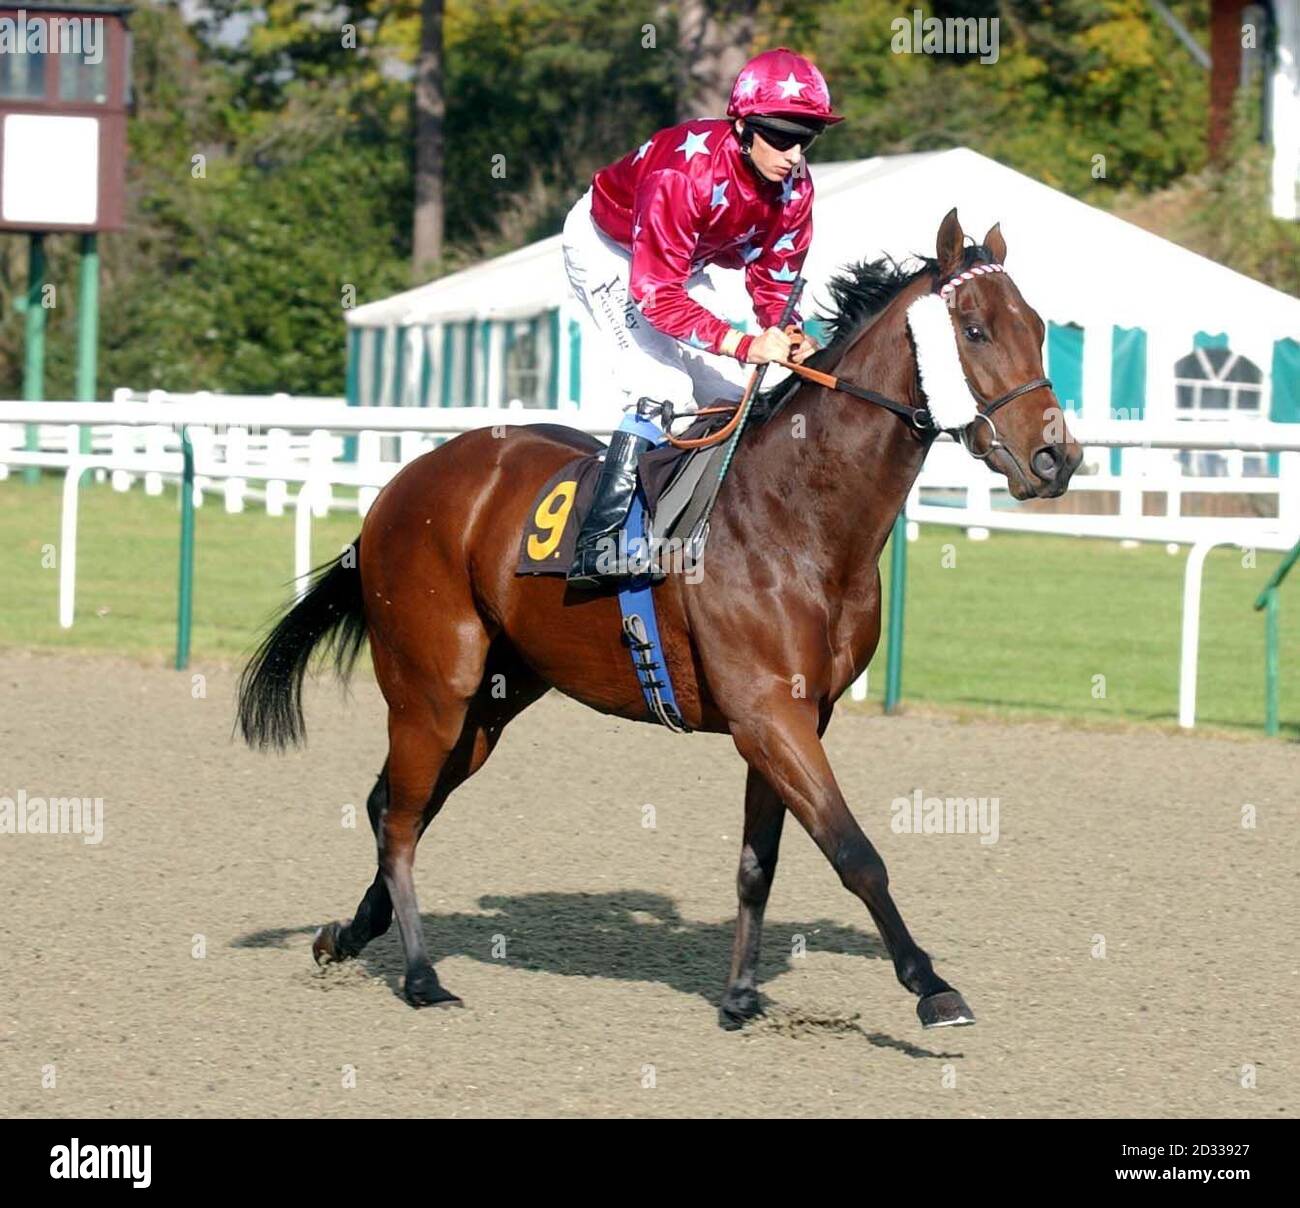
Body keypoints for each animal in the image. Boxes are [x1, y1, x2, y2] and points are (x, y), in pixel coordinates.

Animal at [239, 208, 1081, 1029]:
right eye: (974, 328)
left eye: (1040, 327)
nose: (1057, 457)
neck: (800, 514)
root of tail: (400, 486)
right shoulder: (769, 713)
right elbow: (854, 850)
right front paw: (930, 984)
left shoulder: (794, 715)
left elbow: (759, 861)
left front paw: (740, 995)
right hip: (432, 687)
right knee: (403, 817)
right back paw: (420, 976)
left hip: (493, 699)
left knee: (395, 803)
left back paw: (347, 936)